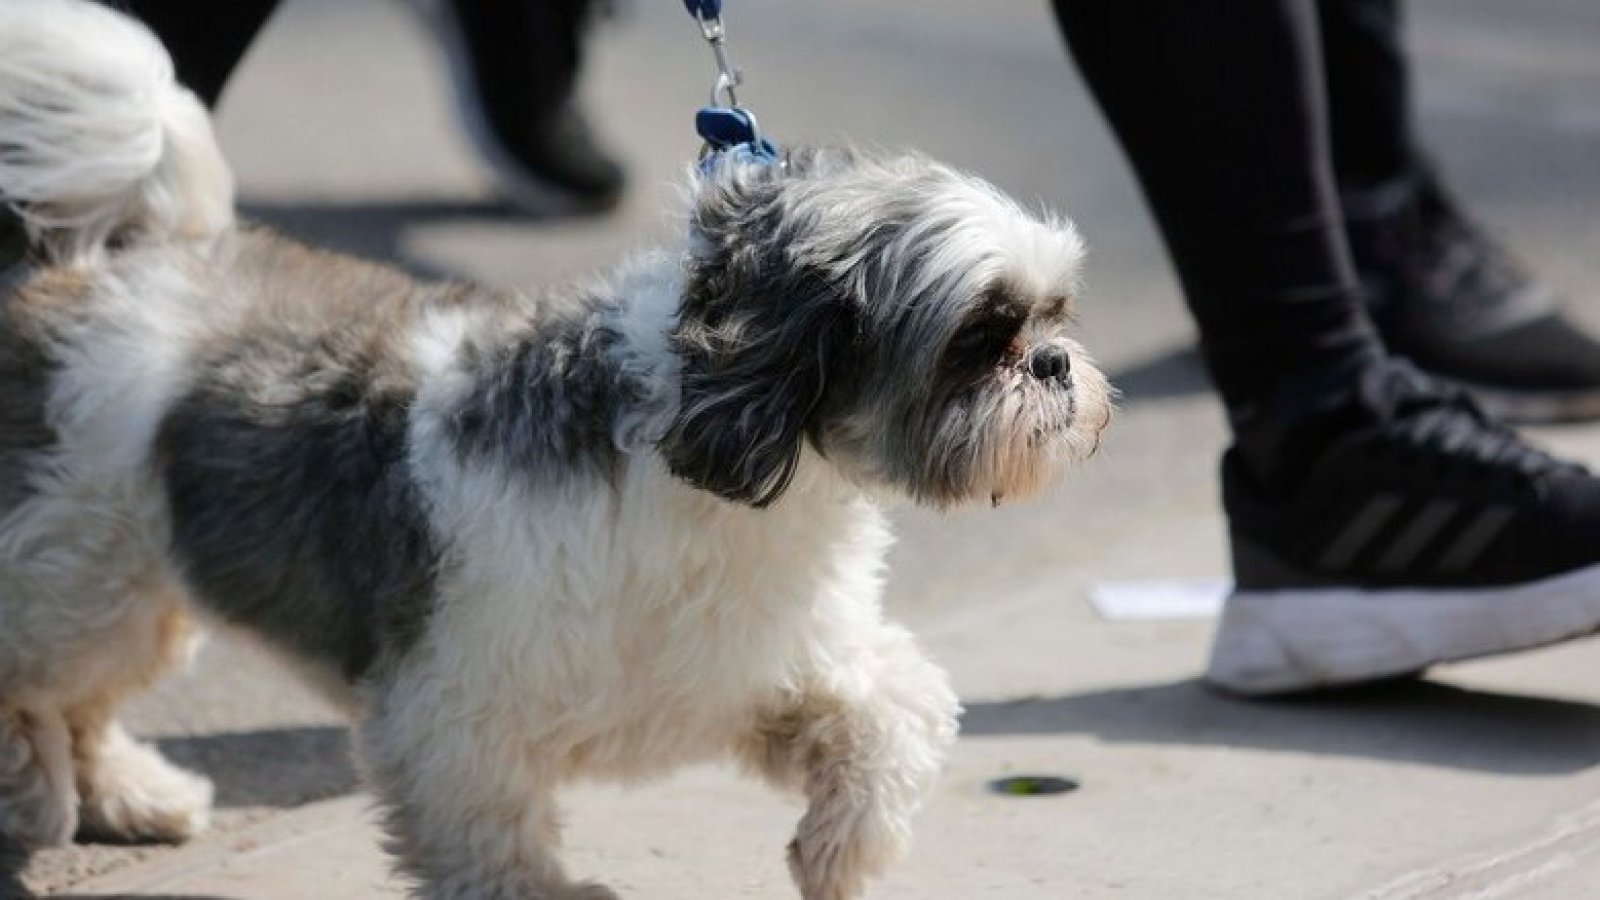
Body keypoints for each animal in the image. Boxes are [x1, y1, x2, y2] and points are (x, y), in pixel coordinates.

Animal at [0, 3, 1107, 890]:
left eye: (1055, 311)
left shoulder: (753, 672)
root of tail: (125, 266)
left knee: (83, 702)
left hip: (124, 592)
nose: (1055, 362)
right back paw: (41, 795)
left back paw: (128, 794)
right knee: (41, 688)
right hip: (79, 582)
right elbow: (493, 845)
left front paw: (844, 850)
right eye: (981, 335)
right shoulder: (451, 717)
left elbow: (897, 710)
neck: (710, 467)